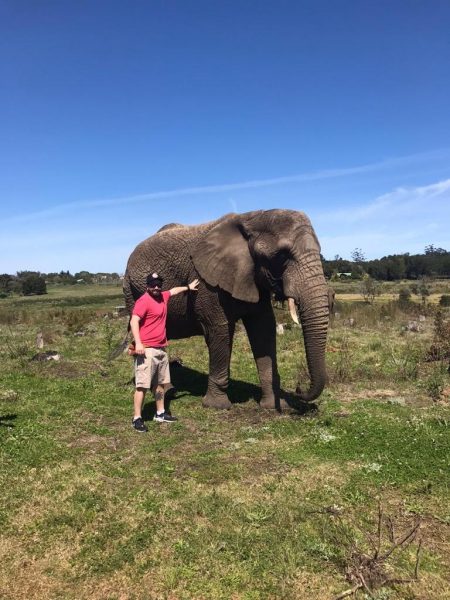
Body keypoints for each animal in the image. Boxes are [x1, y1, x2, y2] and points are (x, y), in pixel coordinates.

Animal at [124, 209, 330, 410]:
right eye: (281, 255)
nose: (298, 388)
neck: (251, 218)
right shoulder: (207, 283)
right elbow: (219, 330)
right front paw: (217, 406)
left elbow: (263, 329)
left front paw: (273, 406)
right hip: (131, 290)